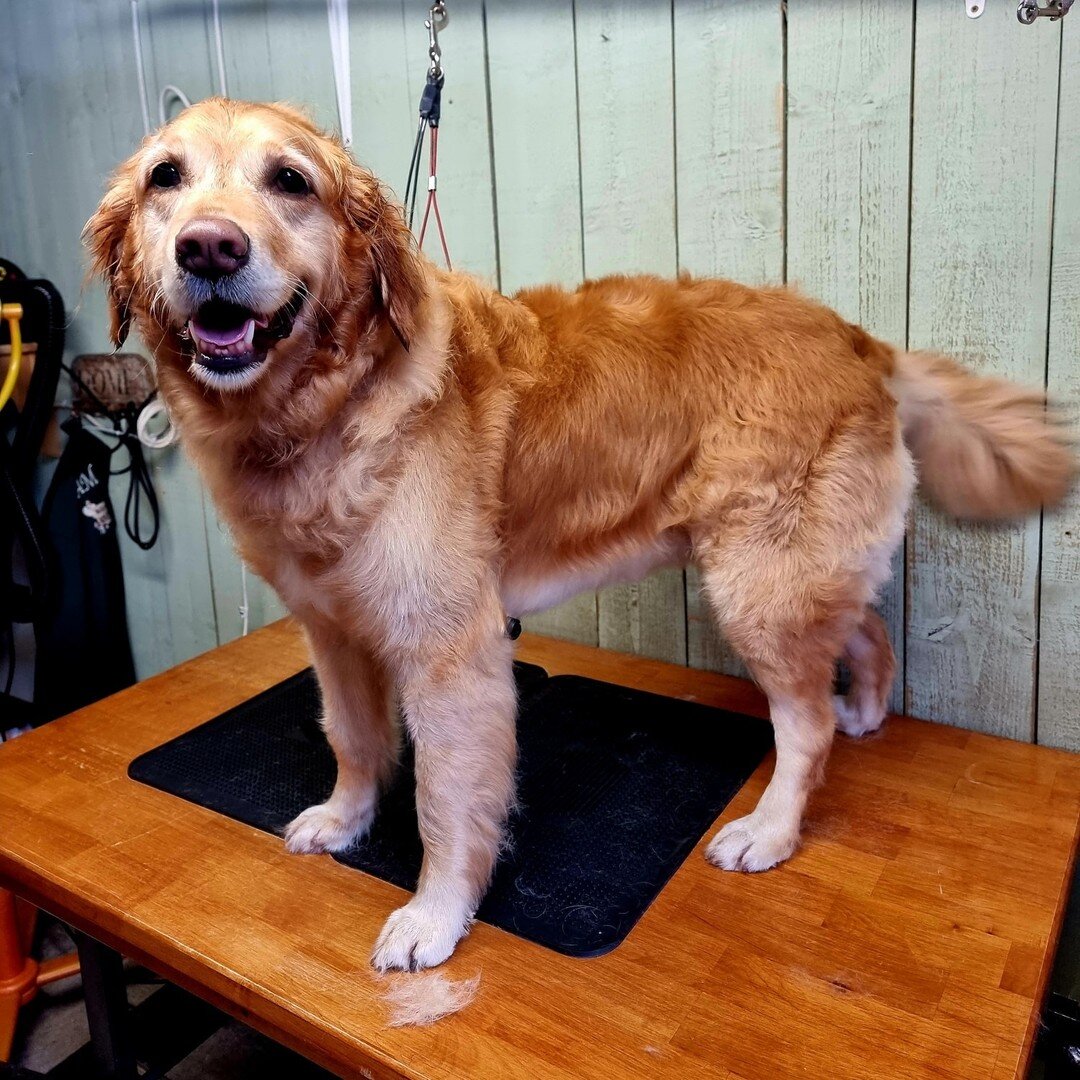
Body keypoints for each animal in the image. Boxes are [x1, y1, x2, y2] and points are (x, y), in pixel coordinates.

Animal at [88, 101, 1075, 972]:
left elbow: (447, 802)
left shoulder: (452, 655)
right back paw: (866, 710)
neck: (326, 410)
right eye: (165, 178)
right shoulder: (332, 630)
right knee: (862, 631)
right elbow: (355, 738)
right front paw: (345, 817)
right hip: (792, 572)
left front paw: (435, 917)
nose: (210, 247)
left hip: (756, 584)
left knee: (805, 726)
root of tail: (863, 340)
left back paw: (771, 828)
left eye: (289, 181)